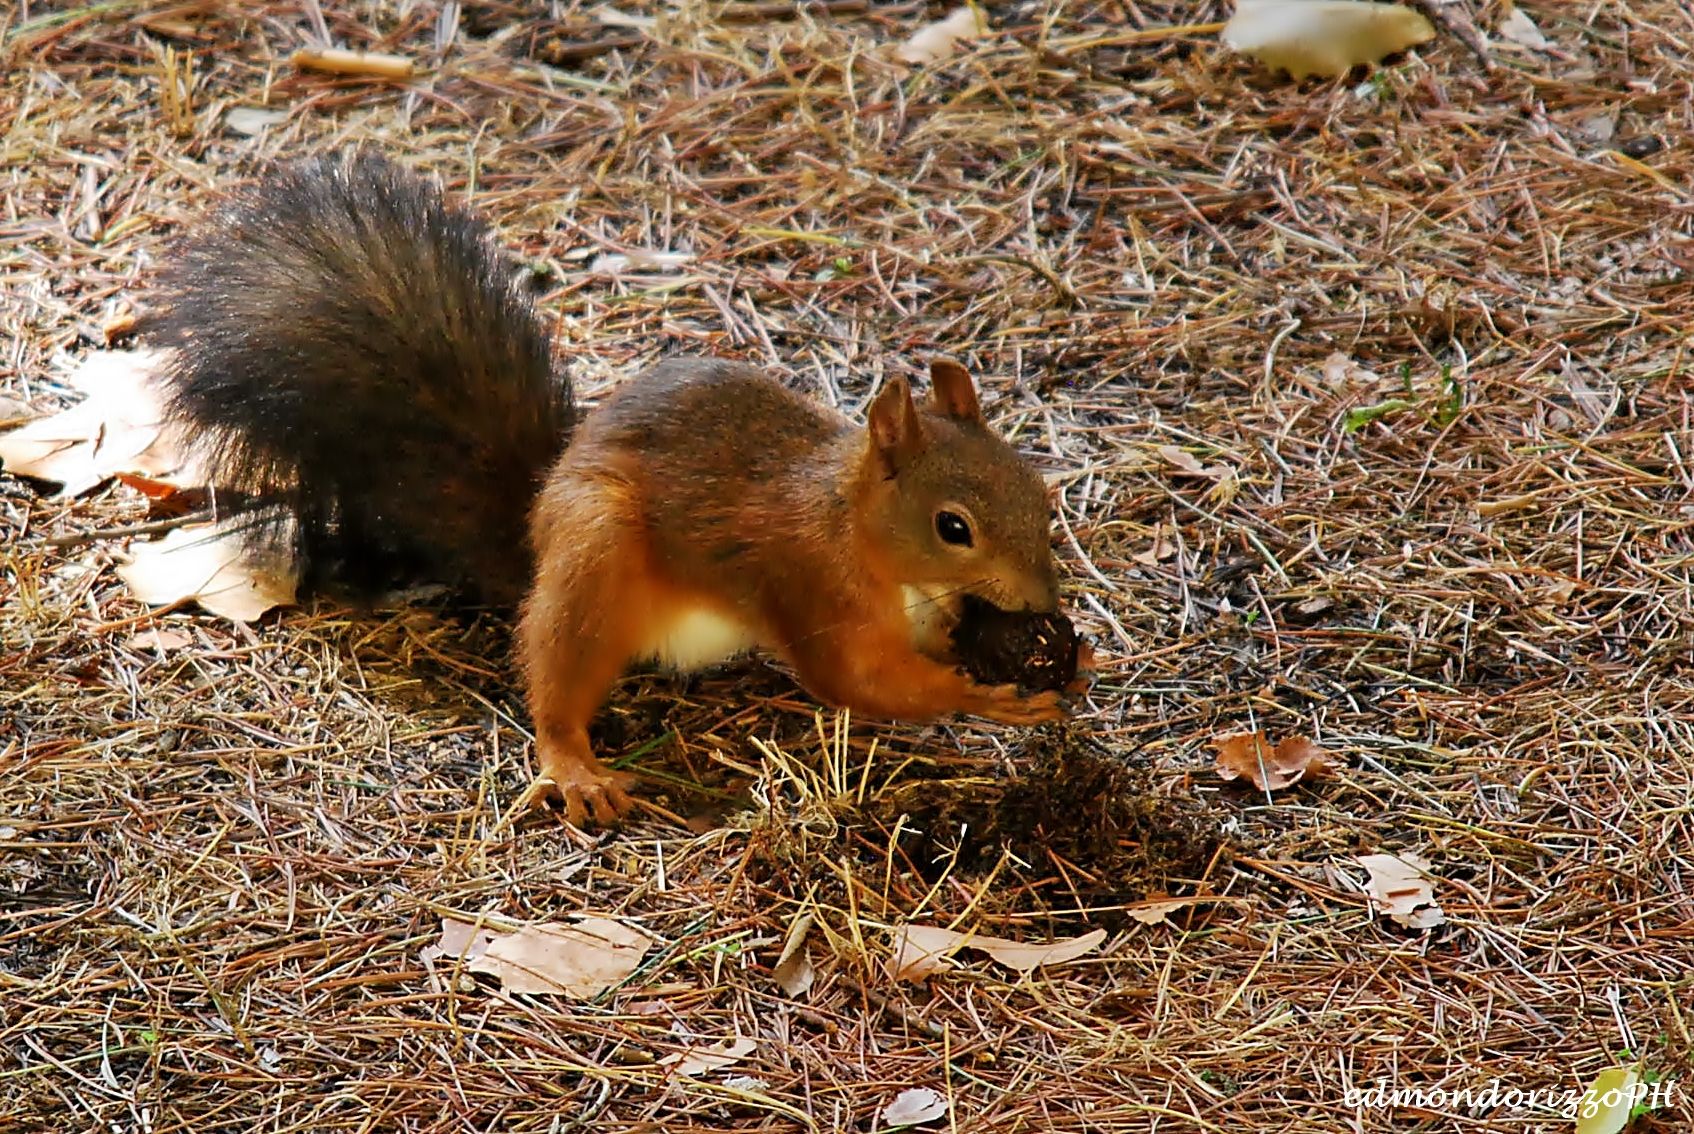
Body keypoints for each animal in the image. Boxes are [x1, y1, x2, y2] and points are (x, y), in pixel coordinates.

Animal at [142, 151, 1082, 826]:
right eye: (953, 526)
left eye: (1041, 495)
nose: (1044, 601)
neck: (852, 527)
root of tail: (535, 527)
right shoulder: (808, 587)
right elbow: (863, 684)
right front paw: (993, 697)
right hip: (596, 555)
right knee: (557, 677)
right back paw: (574, 764)